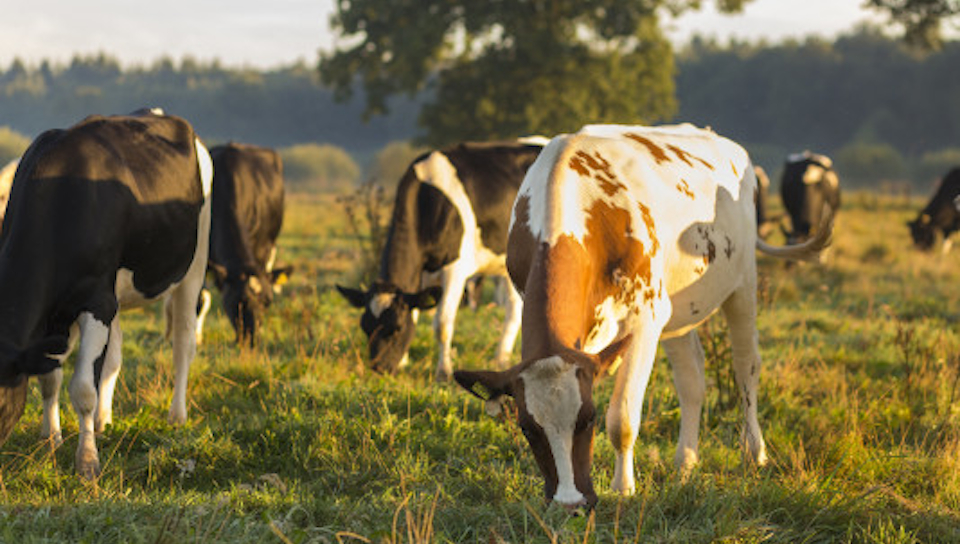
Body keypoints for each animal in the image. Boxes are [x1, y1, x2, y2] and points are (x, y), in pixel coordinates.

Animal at [0, 109, 211, 476]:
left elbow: (83, 389)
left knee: (183, 342)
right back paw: (103, 420)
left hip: (193, 266)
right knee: (114, 356)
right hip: (117, 294)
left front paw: (87, 461)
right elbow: (50, 378)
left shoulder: (96, 301)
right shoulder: (58, 314)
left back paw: (177, 415)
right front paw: (51, 439)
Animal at [193, 141, 286, 344]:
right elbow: (200, 298)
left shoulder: (260, 248)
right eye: (238, 302)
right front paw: (194, 337)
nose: (252, 340)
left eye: (267, 303)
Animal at [338, 138, 548, 380]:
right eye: (365, 327)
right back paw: (501, 358)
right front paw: (404, 361)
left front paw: (444, 371)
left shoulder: (454, 270)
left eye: (396, 328)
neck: (426, 200)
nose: (379, 368)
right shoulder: (421, 274)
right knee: (514, 308)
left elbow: (442, 324)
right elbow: (416, 311)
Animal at [452, 123, 832, 510]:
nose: (570, 503)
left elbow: (621, 417)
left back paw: (754, 451)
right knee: (691, 379)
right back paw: (685, 463)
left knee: (746, 366)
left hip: (742, 285)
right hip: (678, 311)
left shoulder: (644, 321)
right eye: (528, 427)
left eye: (588, 419)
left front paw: (623, 490)